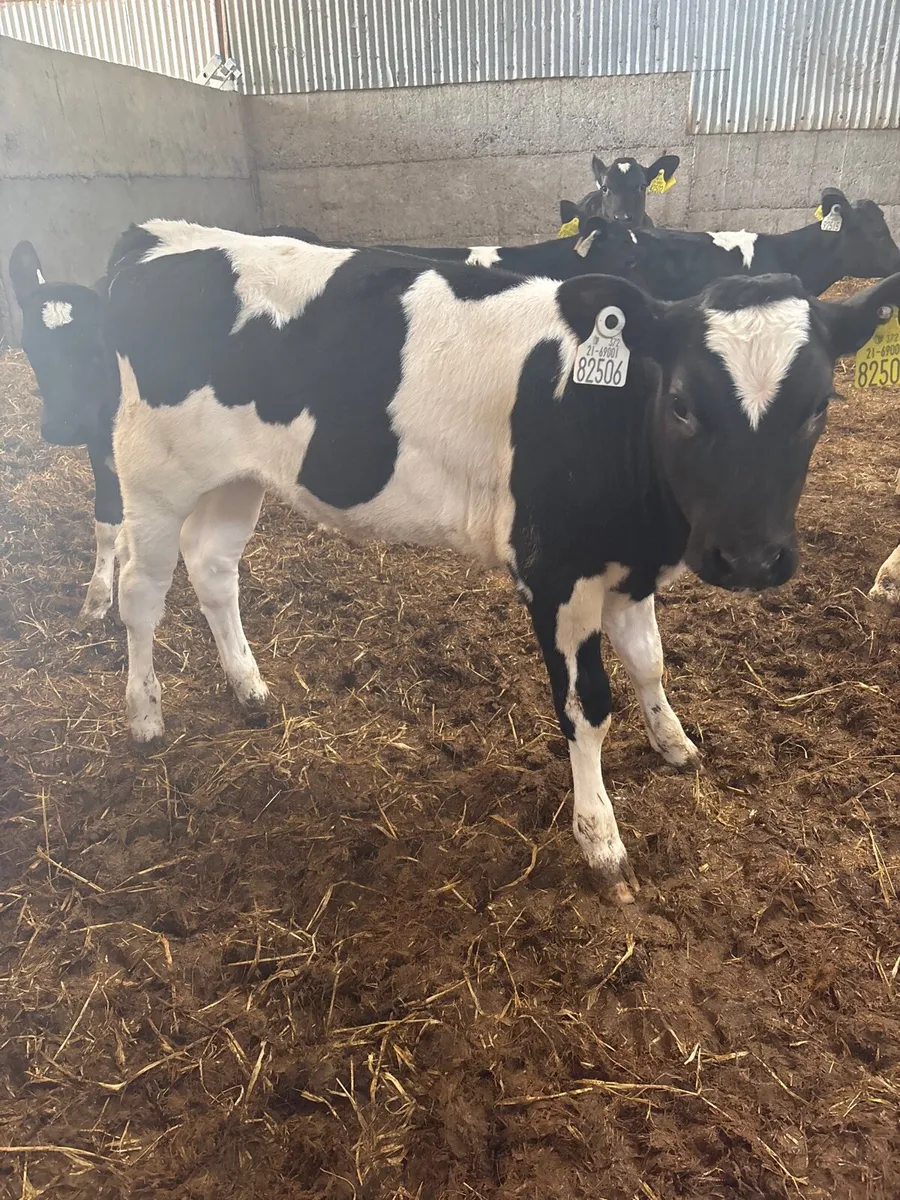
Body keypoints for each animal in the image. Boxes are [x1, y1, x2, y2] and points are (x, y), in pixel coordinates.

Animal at [8, 241, 123, 620]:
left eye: (97, 348)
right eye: (30, 347)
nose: (63, 426)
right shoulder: (100, 441)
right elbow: (106, 518)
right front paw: (98, 597)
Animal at [104, 219, 900, 902]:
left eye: (819, 406)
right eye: (680, 403)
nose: (750, 558)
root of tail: (162, 240)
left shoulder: (628, 564)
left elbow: (649, 662)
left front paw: (674, 742)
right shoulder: (556, 575)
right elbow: (587, 707)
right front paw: (601, 838)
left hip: (234, 478)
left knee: (212, 569)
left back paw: (249, 687)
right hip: (152, 477)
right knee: (140, 590)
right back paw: (144, 716)